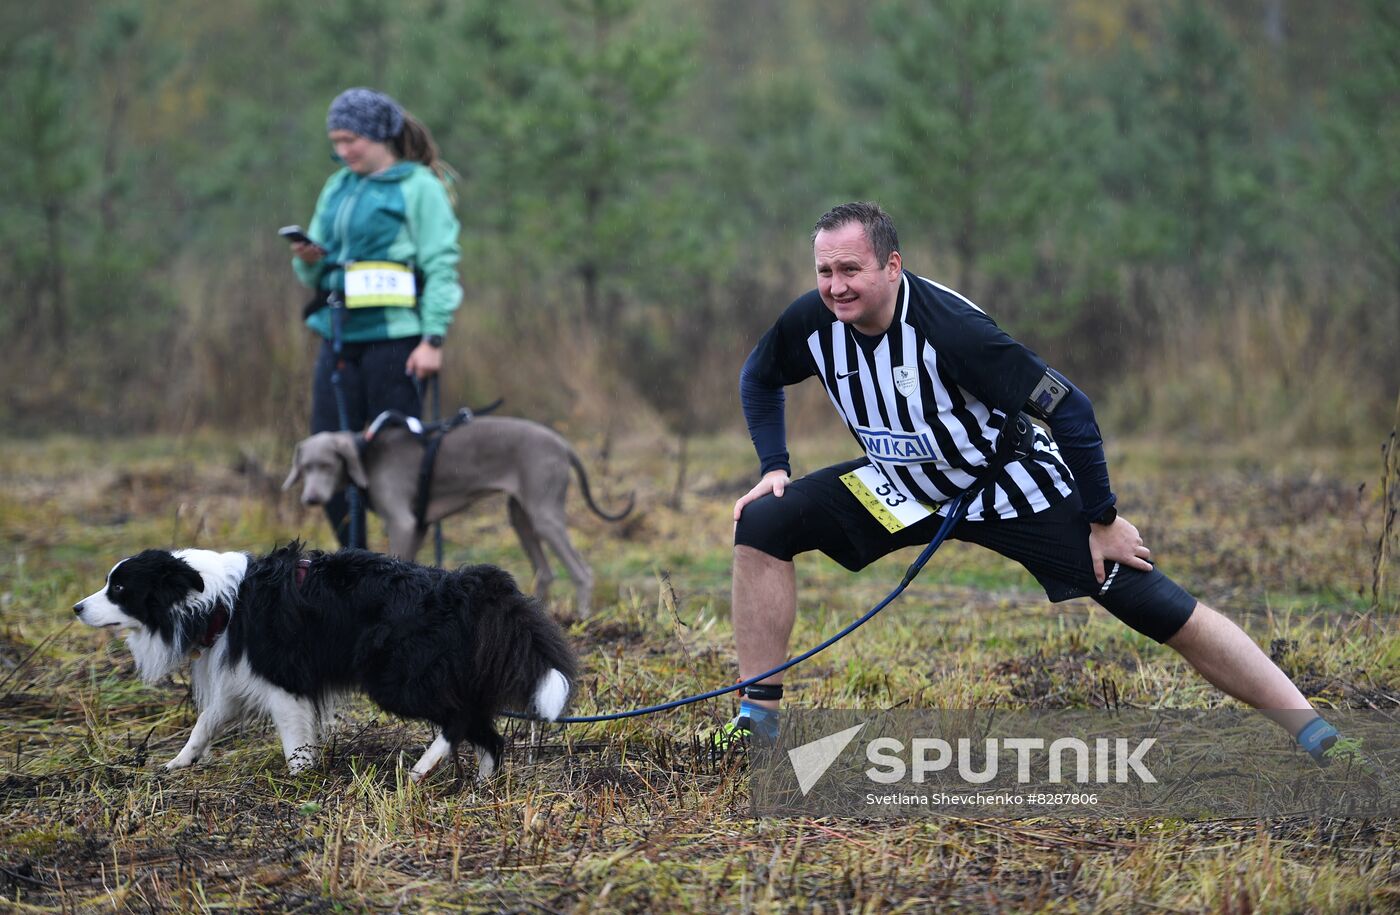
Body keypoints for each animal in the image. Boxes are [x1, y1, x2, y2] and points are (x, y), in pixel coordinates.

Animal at [281, 419, 632, 621]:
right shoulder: (419, 526)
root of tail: (563, 445)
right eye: (306, 466)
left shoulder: (403, 522)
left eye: (327, 465)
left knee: (582, 571)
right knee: (545, 572)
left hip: (544, 512)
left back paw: (583, 618)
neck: (367, 453)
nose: (311, 499)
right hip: (520, 515)